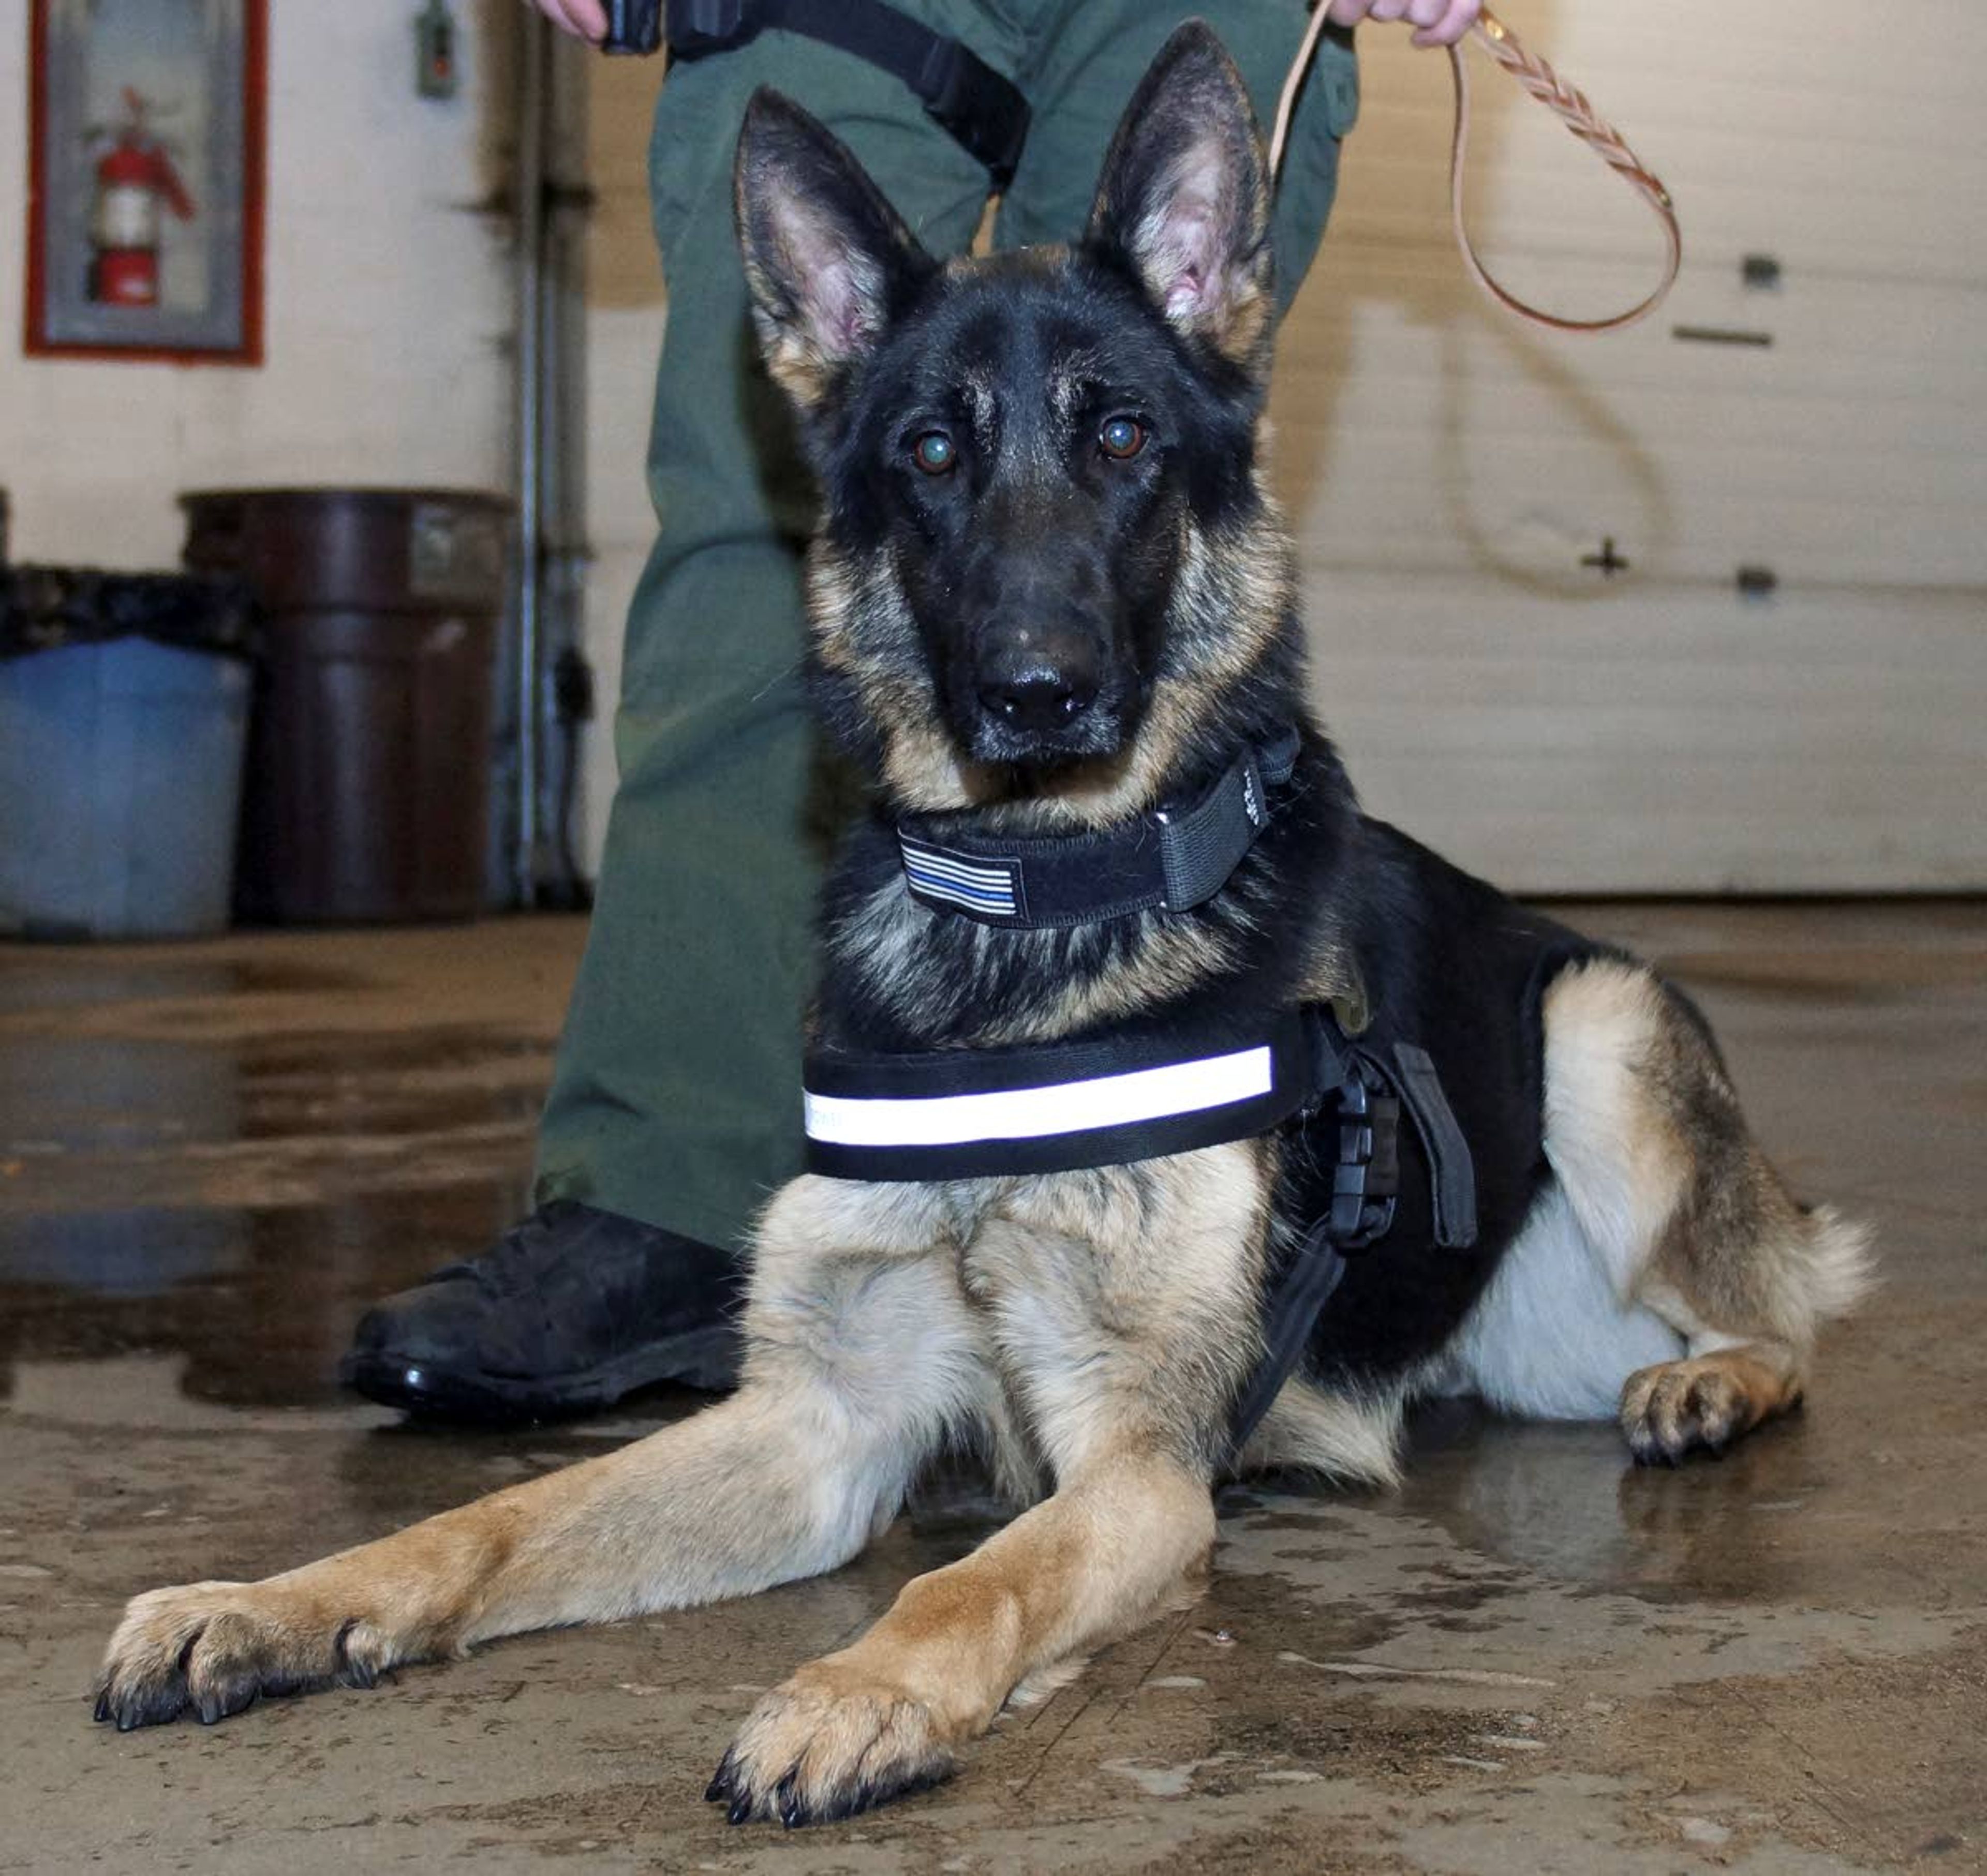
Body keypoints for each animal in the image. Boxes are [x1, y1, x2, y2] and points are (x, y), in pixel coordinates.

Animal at [97, 22, 1860, 1828]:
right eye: (931, 456)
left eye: (1125, 439)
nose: (1035, 690)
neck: (1022, 917)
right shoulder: (816, 1423)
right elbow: (498, 1516)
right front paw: (285, 1598)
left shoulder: (1138, 1467)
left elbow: (970, 1577)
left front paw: (853, 1688)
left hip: (1596, 1029)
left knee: (1789, 1316)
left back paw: (1713, 1380)